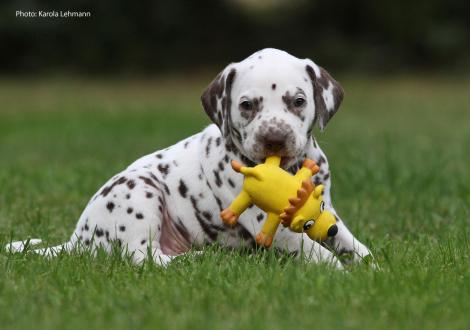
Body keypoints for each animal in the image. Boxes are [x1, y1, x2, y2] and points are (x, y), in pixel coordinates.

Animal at [7, 48, 372, 268]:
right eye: (247, 105)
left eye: (298, 101)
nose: (274, 139)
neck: (289, 169)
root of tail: (77, 240)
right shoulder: (271, 224)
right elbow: (317, 252)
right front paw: (341, 274)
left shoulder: (324, 209)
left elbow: (348, 242)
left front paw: (372, 268)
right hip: (140, 192)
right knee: (146, 258)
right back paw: (195, 261)